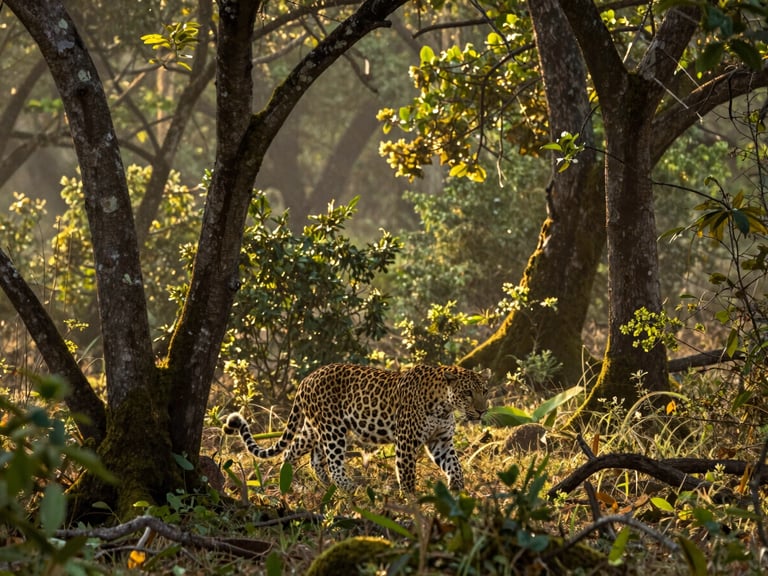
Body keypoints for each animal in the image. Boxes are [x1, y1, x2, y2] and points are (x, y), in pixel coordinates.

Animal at [223, 363, 490, 492]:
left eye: (485, 391)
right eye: (468, 393)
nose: (482, 411)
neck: (444, 406)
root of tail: (306, 379)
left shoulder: (440, 441)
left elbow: (455, 467)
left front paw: (457, 491)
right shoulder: (405, 442)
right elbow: (406, 476)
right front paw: (410, 502)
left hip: (312, 428)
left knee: (299, 452)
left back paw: (294, 481)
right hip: (333, 429)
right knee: (331, 462)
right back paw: (349, 488)